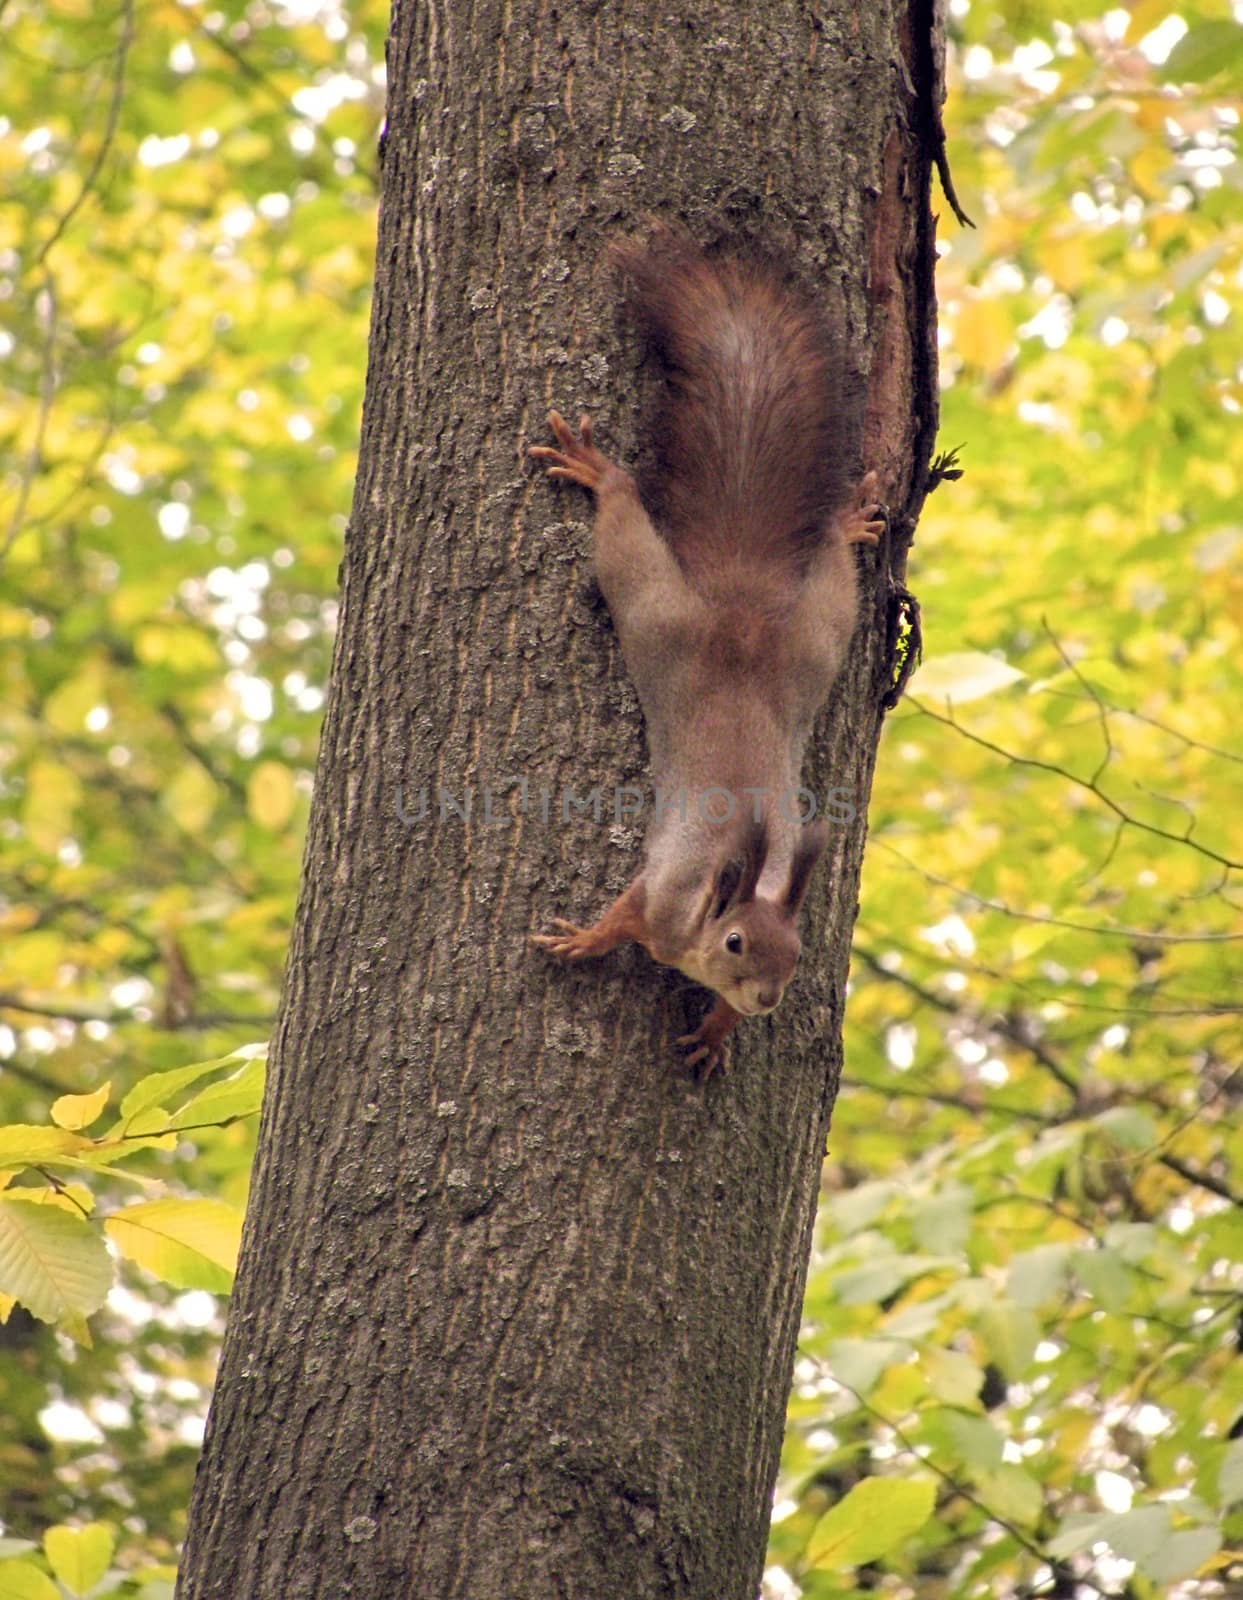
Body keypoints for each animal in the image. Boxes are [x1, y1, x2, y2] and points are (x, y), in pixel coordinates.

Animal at [527, 232, 876, 1081]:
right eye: (736, 941)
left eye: (798, 954)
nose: (769, 1000)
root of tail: (738, 612)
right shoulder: (661, 894)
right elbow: (622, 916)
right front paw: (582, 940)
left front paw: (717, 1032)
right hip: (658, 612)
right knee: (625, 531)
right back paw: (598, 472)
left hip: (814, 641)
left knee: (832, 575)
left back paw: (846, 526)